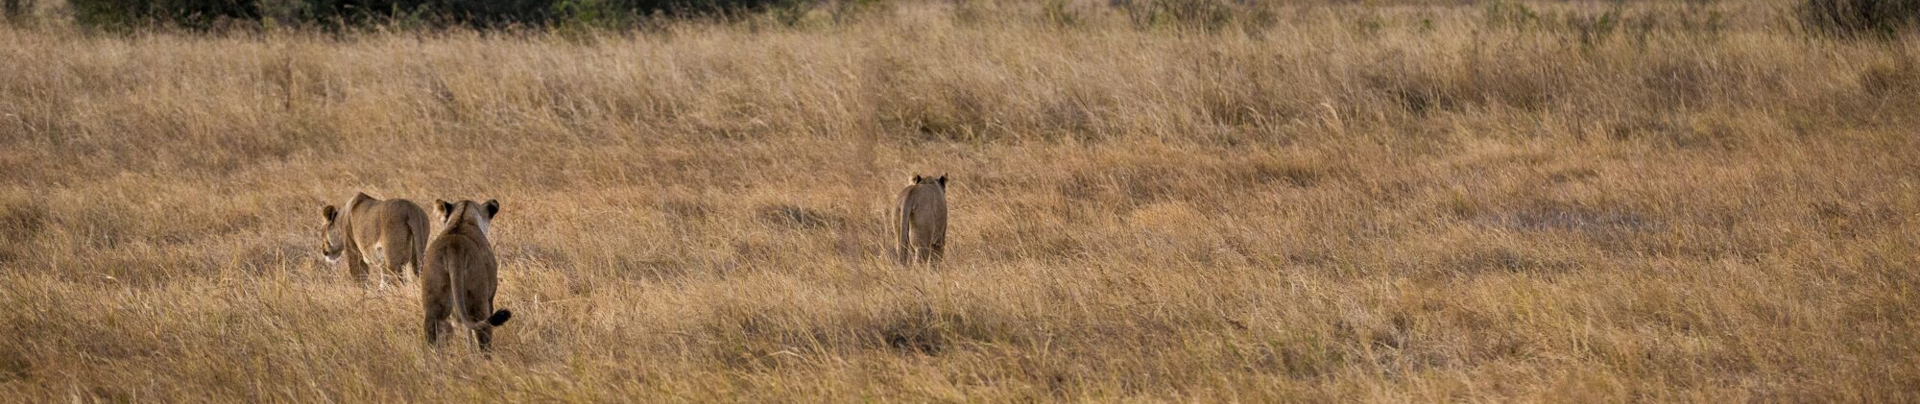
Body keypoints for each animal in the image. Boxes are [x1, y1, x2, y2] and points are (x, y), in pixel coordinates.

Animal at [421, 199, 513, 351]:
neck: (462, 218)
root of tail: (453, 247)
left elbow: (466, 328)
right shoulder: (489, 297)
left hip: (434, 298)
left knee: (433, 330)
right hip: (478, 297)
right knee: (484, 329)